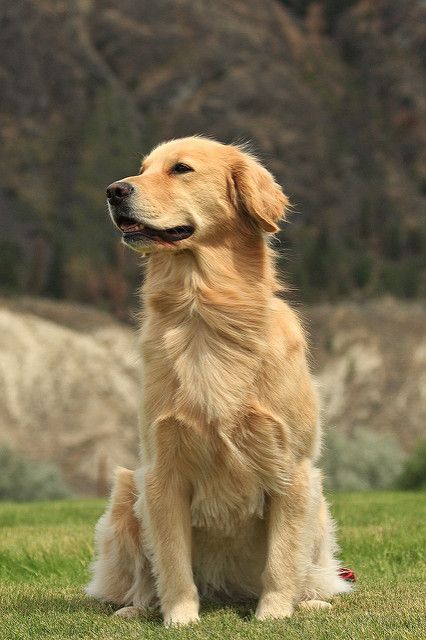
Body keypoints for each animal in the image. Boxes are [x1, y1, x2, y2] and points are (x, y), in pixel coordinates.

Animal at [85, 136, 352, 624]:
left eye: (181, 169)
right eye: (142, 168)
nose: (114, 191)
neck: (205, 312)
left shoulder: (292, 469)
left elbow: (281, 559)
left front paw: (274, 613)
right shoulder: (161, 472)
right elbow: (172, 561)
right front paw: (179, 618)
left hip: (319, 503)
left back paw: (310, 599)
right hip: (126, 492)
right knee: (139, 577)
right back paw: (136, 608)